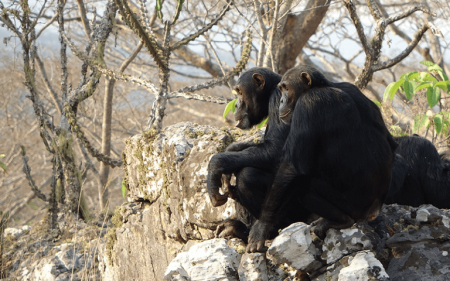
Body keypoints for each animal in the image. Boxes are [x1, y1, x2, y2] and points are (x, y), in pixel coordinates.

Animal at [206, 67, 312, 241]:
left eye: (240, 92)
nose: (236, 104)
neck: (270, 91)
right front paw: (231, 150)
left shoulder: (278, 100)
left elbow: (275, 149)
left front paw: (215, 166)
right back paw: (238, 228)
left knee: (247, 175)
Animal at [246, 65, 398, 252]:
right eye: (280, 89)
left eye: (286, 88)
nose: (281, 100)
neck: (323, 87)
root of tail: (373, 212)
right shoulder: (353, 89)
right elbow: (391, 143)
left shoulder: (308, 104)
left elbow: (291, 168)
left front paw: (261, 228)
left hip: (353, 208)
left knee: (306, 187)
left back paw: (339, 220)